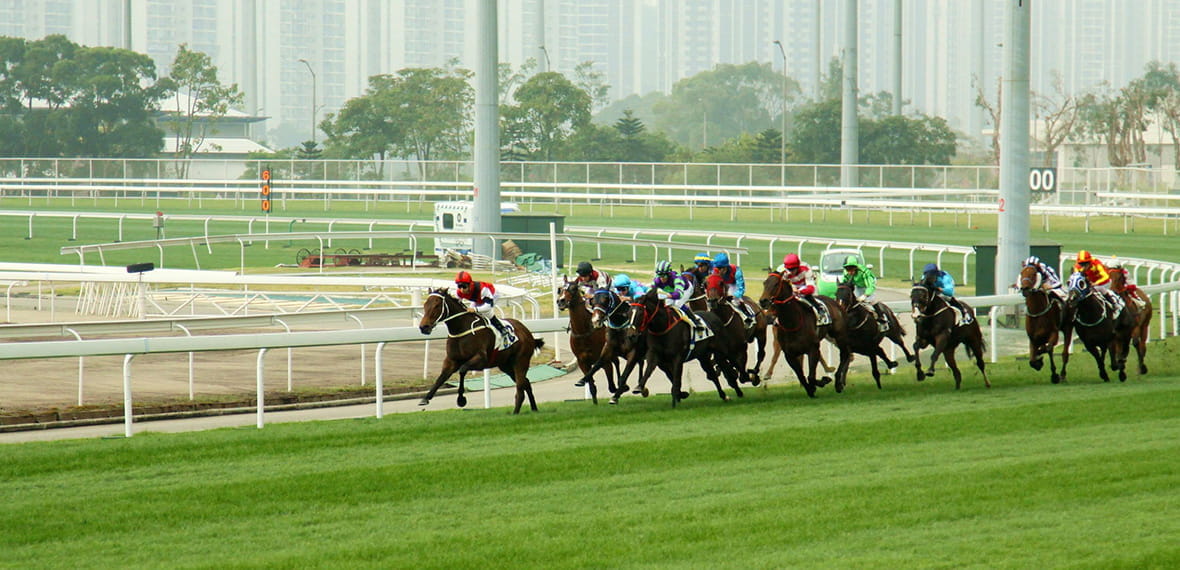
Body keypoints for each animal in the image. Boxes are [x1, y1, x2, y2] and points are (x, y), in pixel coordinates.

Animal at [556, 277, 618, 405]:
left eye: (574, 288)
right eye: (560, 289)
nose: (561, 301)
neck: (583, 332)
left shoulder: (604, 359)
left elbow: (611, 385)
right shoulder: (583, 362)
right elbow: (592, 385)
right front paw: (594, 402)